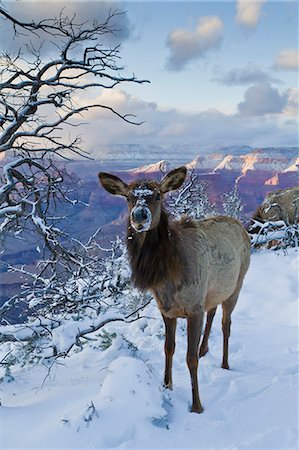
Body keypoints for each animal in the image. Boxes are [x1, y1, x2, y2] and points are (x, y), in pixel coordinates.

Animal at [98, 167, 251, 414]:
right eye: (129, 197)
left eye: (157, 195)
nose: (139, 216)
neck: (166, 277)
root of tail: (241, 226)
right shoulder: (167, 311)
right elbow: (168, 348)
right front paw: (167, 385)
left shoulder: (194, 308)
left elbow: (190, 358)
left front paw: (197, 405)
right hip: (214, 290)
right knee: (213, 312)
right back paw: (204, 348)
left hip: (237, 284)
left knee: (226, 324)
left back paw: (225, 363)